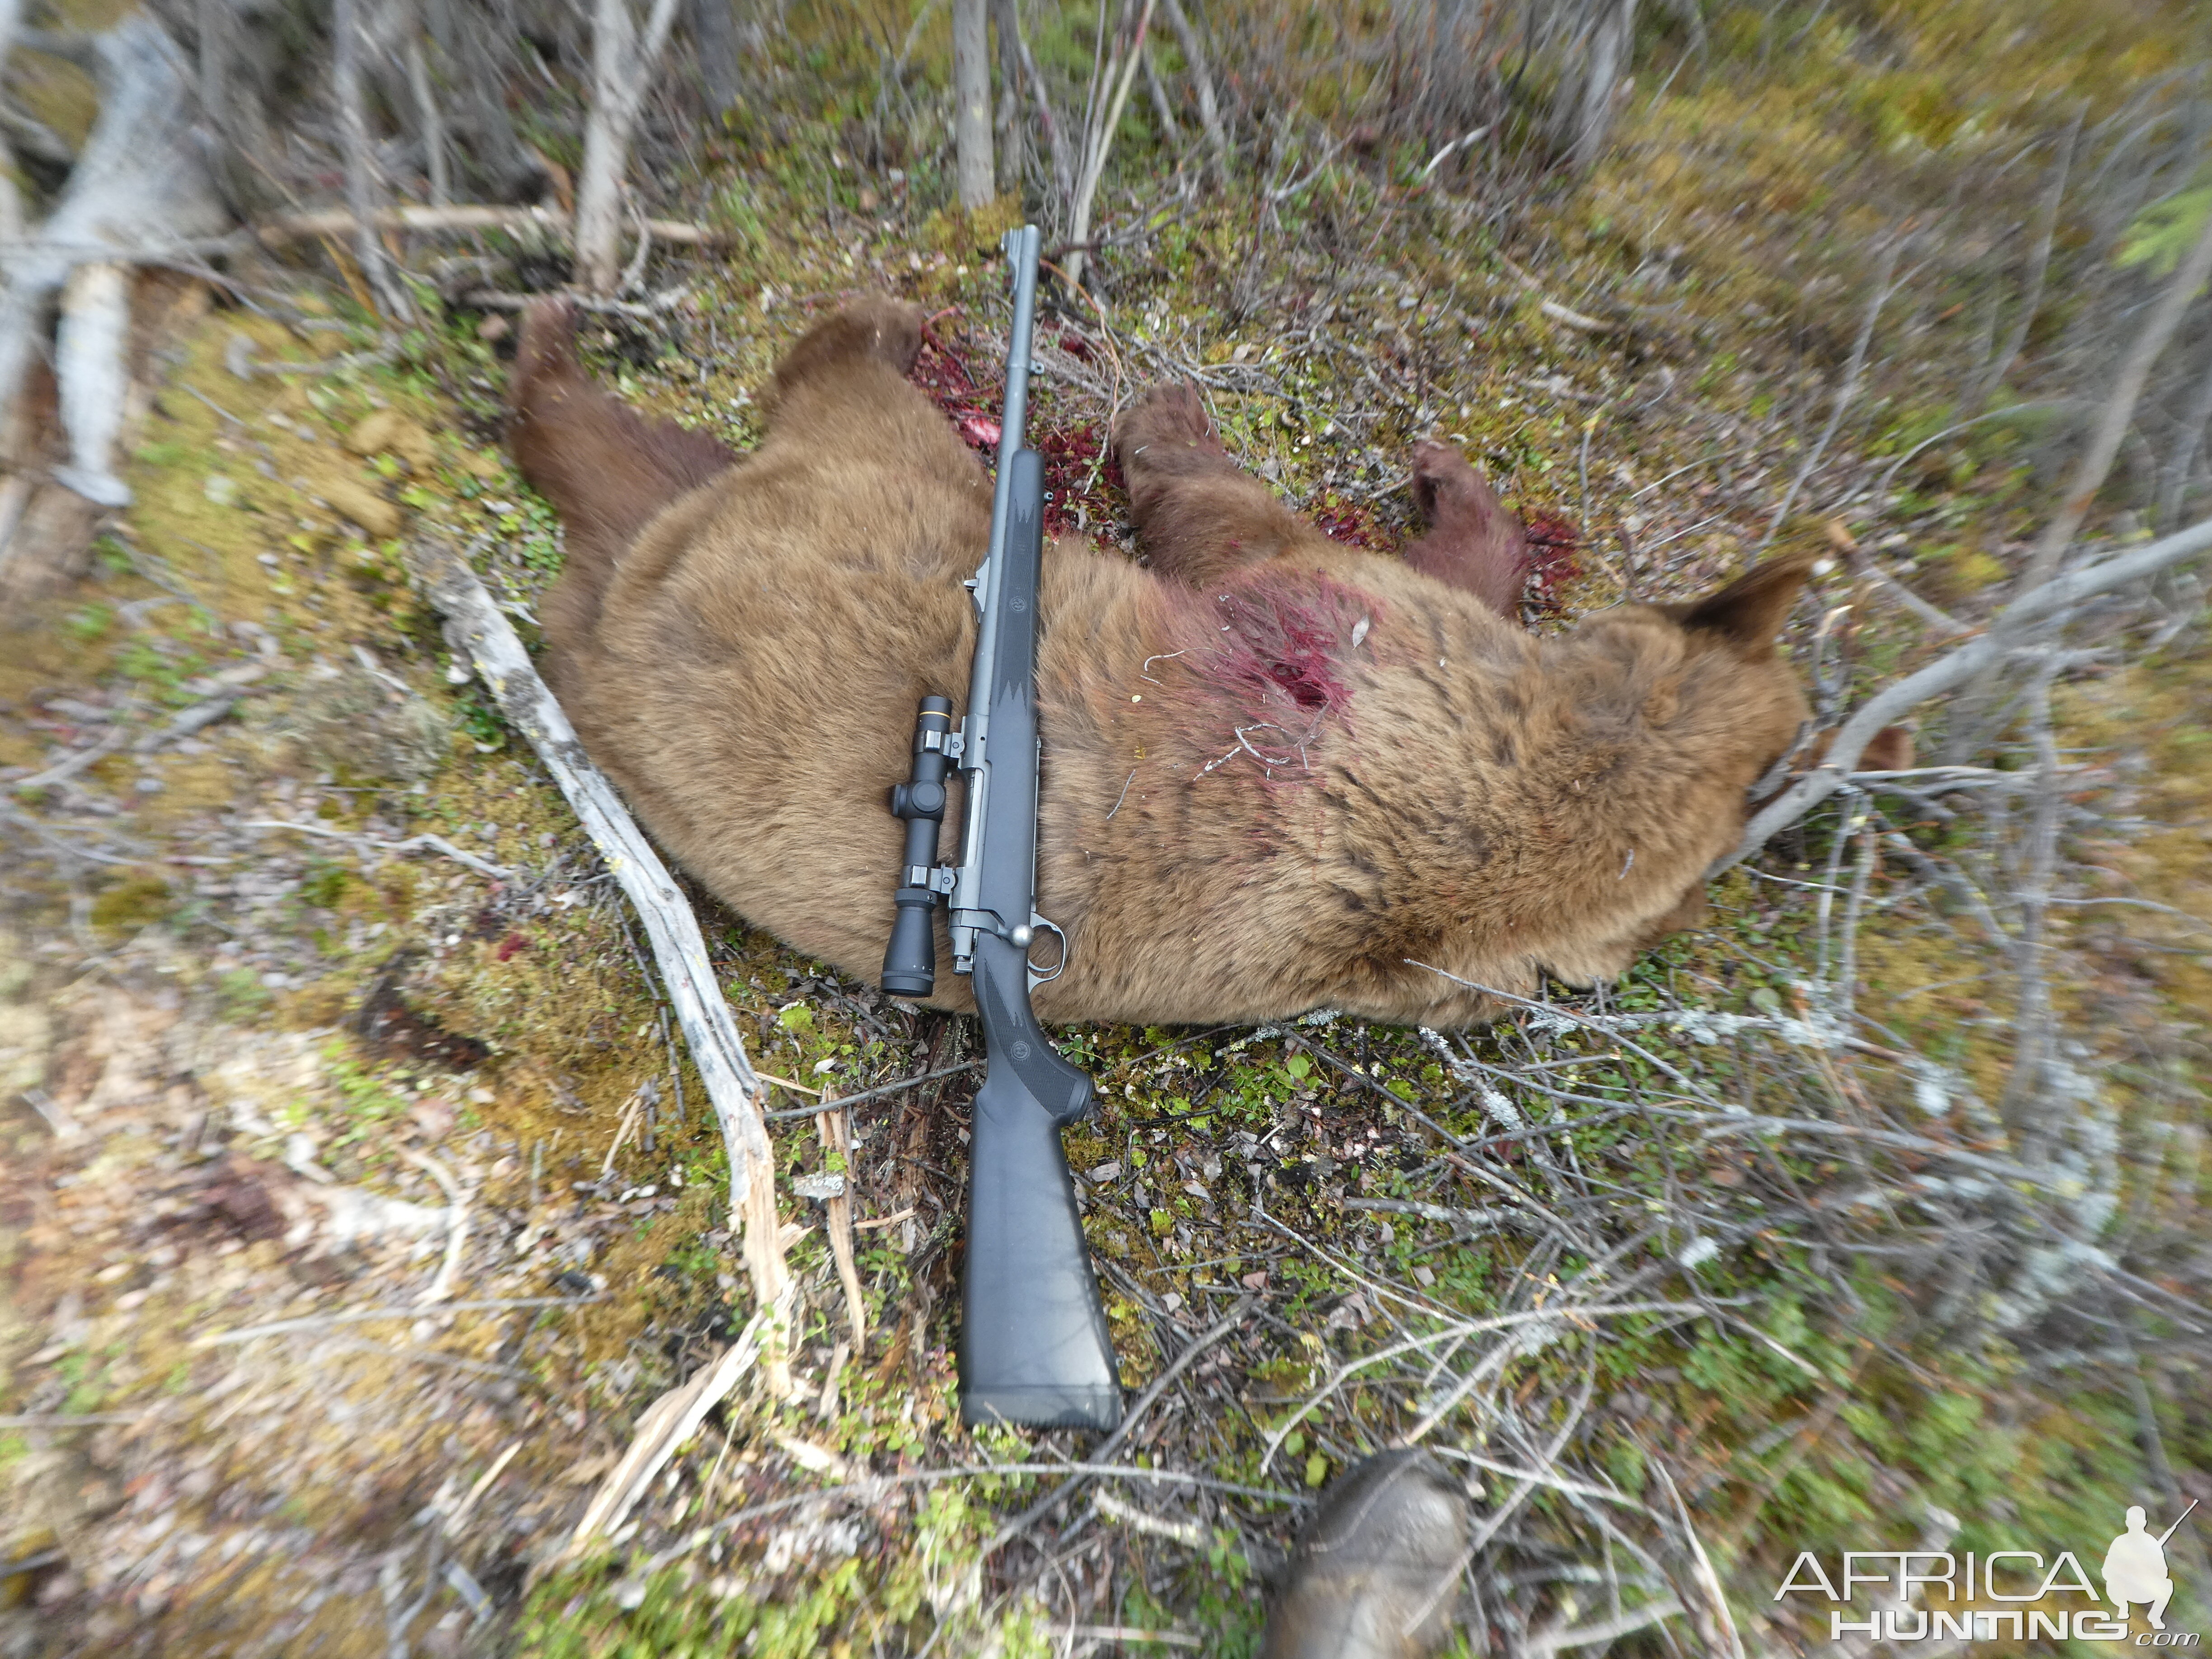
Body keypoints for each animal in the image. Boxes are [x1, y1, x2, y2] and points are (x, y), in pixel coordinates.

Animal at [513, 296, 1867, 1026]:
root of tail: (631, 598)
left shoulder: (1372, 652)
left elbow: (1247, 531)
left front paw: (1180, 421)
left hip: (859, 498)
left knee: (791, 405)